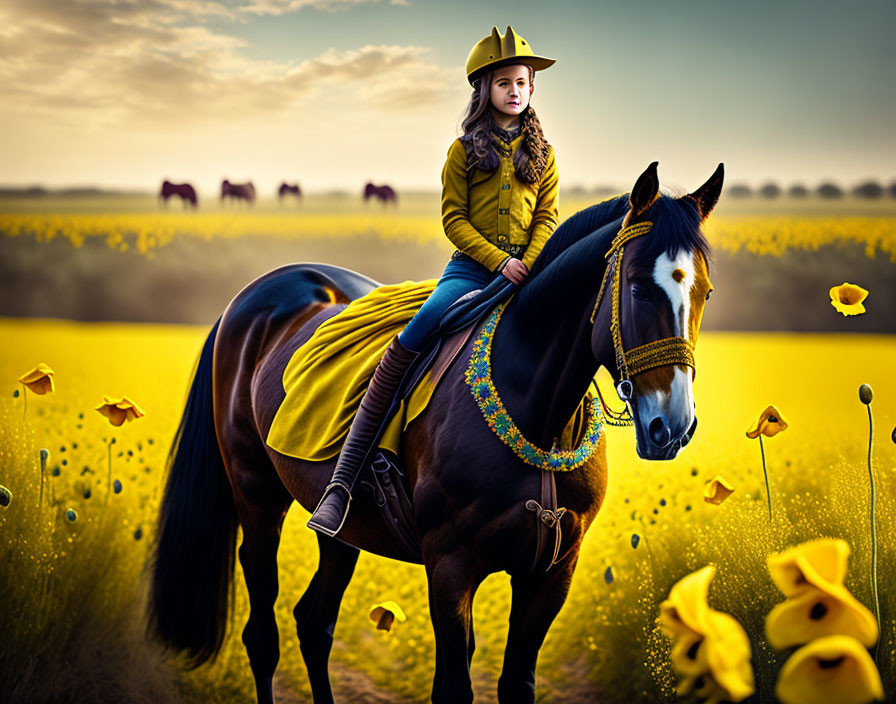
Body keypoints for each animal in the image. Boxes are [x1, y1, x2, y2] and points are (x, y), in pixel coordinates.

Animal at [147, 162, 720, 704]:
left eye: (705, 292)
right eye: (639, 288)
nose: (673, 426)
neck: (536, 412)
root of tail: (251, 298)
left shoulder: (553, 573)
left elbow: (517, 683)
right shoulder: (450, 566)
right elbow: (452, 687)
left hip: (343, 529)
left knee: (315, 624)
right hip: (257, 495)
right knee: (262, 636)